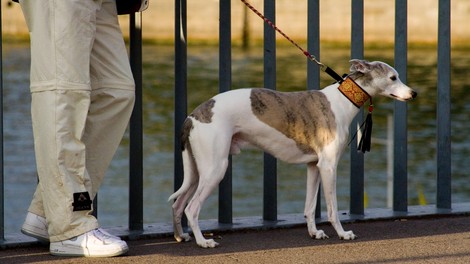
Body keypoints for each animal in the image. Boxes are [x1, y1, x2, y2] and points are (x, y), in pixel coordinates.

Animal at [169, 59, 418, 248]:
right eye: (393, 77)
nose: (414, 93)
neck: (341, 100)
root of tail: (191, 116)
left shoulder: (314, 166)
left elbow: (309, 206)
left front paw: (314, 232)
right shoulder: (328, 166)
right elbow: (332, 208)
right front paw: (342, 233)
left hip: (197, 171)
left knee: (178, 204)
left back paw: (182, 236)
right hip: (215, 169)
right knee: (191, 208)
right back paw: (203, 242)